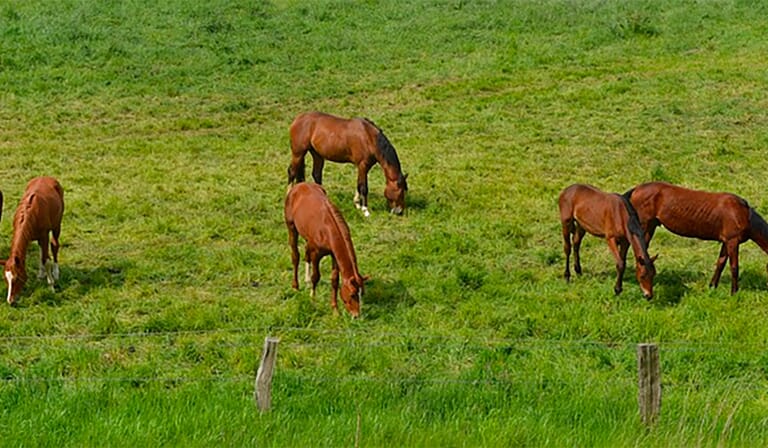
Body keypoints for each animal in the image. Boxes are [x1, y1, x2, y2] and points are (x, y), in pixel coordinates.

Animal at [4, 176, 64, 305]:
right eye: (5, 279)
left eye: (17, 278)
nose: (10, 301)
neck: (29, 215)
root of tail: (47, 177)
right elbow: (42, 256)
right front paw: (41, 275)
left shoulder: (44, 235)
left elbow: (46, 260)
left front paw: (51, 286)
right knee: (42, 251)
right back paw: (41, 274)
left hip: (57, 225)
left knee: (54, 245)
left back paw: (56, 273)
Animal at [285, 182, 368, 318]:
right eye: (352, 295)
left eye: (362, 294)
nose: (356, 315)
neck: (328, 229)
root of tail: (299, 185)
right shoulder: (316, 254)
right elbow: (316, 276)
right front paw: (312, 299)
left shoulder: (334, 255)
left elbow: (335, 280)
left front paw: (335, 309)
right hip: (291, 228)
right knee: (295, 256)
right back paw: (295, 286)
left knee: (306, 254)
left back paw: (306, 281)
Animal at [626, 181, 768, 294]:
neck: (743, 214)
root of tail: (636, 189)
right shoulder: (732, 241)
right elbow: (734, 267)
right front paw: (734, 292)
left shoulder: (726, 242)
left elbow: (720, 263)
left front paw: (712, 286)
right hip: (644, 225)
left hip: (651, 226)